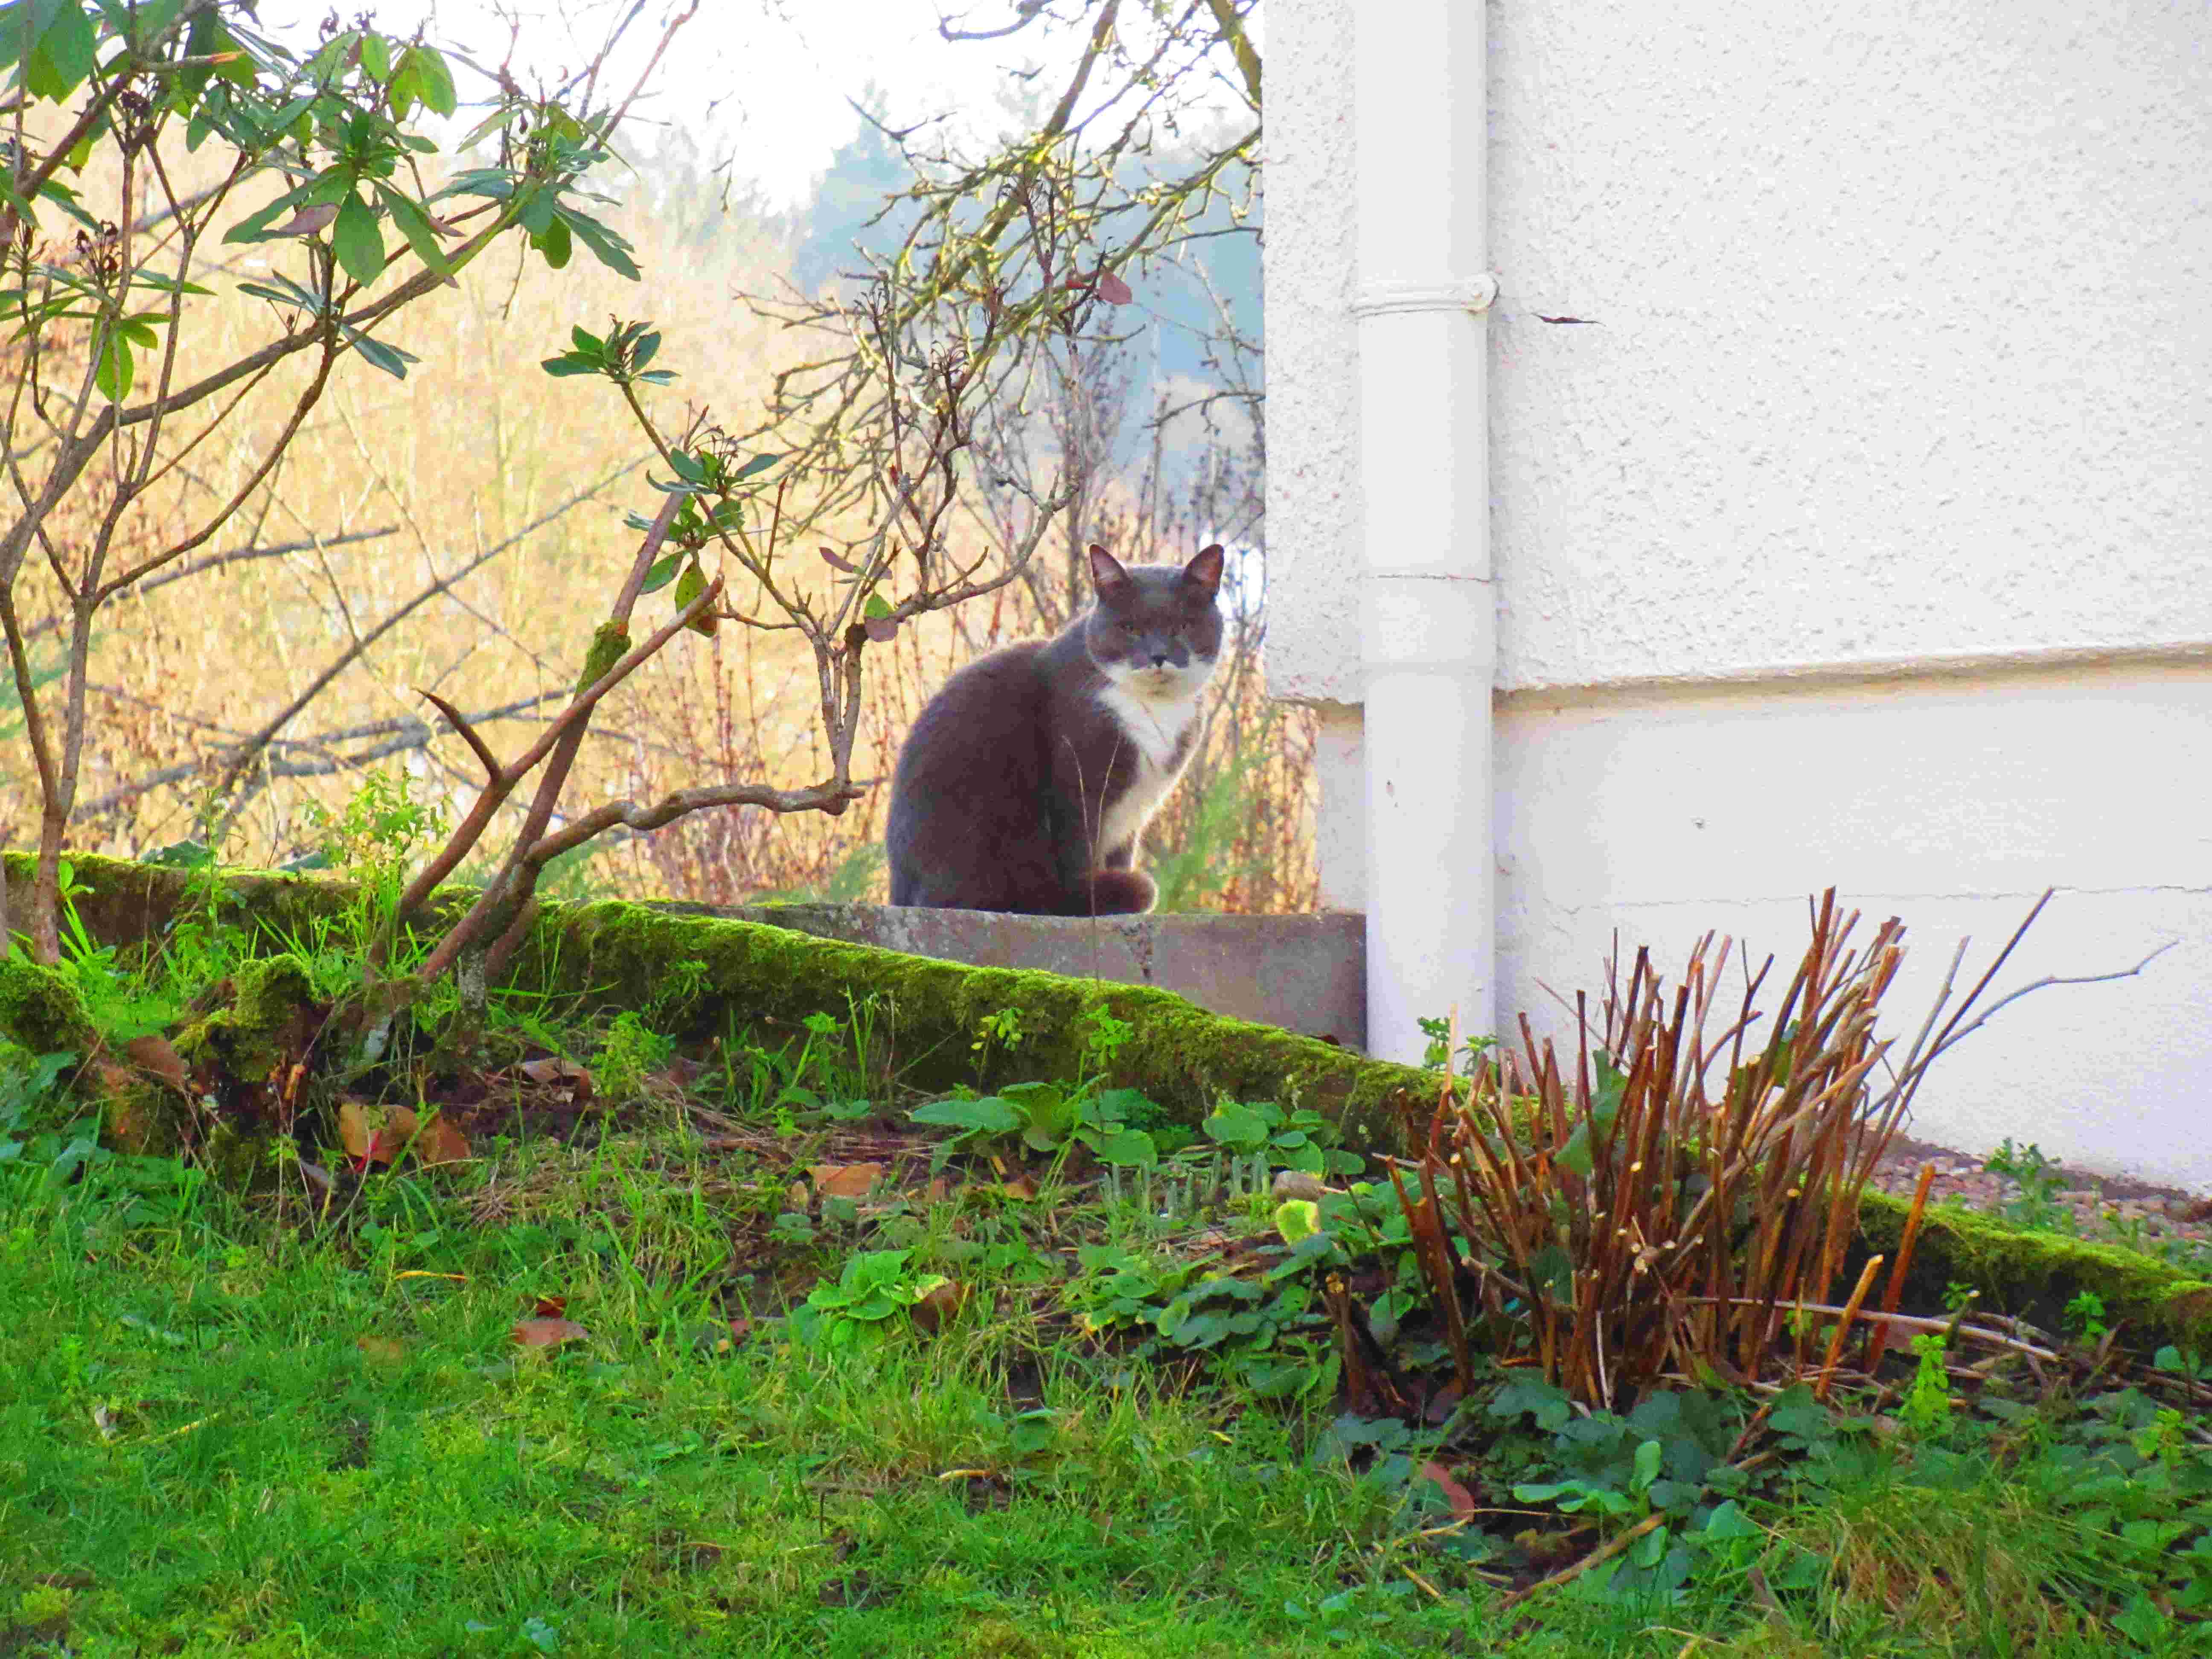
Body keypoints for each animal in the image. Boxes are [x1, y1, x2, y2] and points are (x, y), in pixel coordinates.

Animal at [880, 546, 1230, 916]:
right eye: (1131, 628)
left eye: (1183, 627)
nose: (1158, 656)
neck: (1153, 707)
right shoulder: (1078, 781)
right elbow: (1079, 849)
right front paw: (1092, 896)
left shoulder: (1133, 809)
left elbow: (1120, 855)